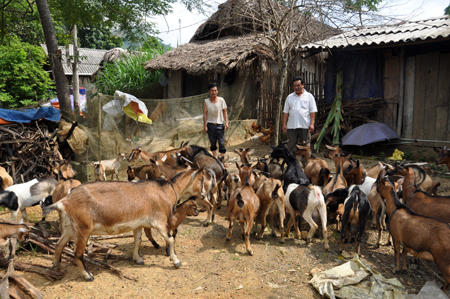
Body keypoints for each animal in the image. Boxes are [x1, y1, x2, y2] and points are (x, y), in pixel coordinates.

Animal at [41, 169, 207, 282]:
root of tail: (64, 201)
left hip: (69, 227)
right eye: (201, 179)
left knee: (59, 245)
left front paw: (138, 259)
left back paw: (55, 266)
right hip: (83, 229)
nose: (204, 195)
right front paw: (176, 261)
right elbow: (170, 239)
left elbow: (137, 240)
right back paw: (88, 275)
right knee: (77, 253)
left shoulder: (139, 224)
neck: (166, 190)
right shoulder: (159, 221)